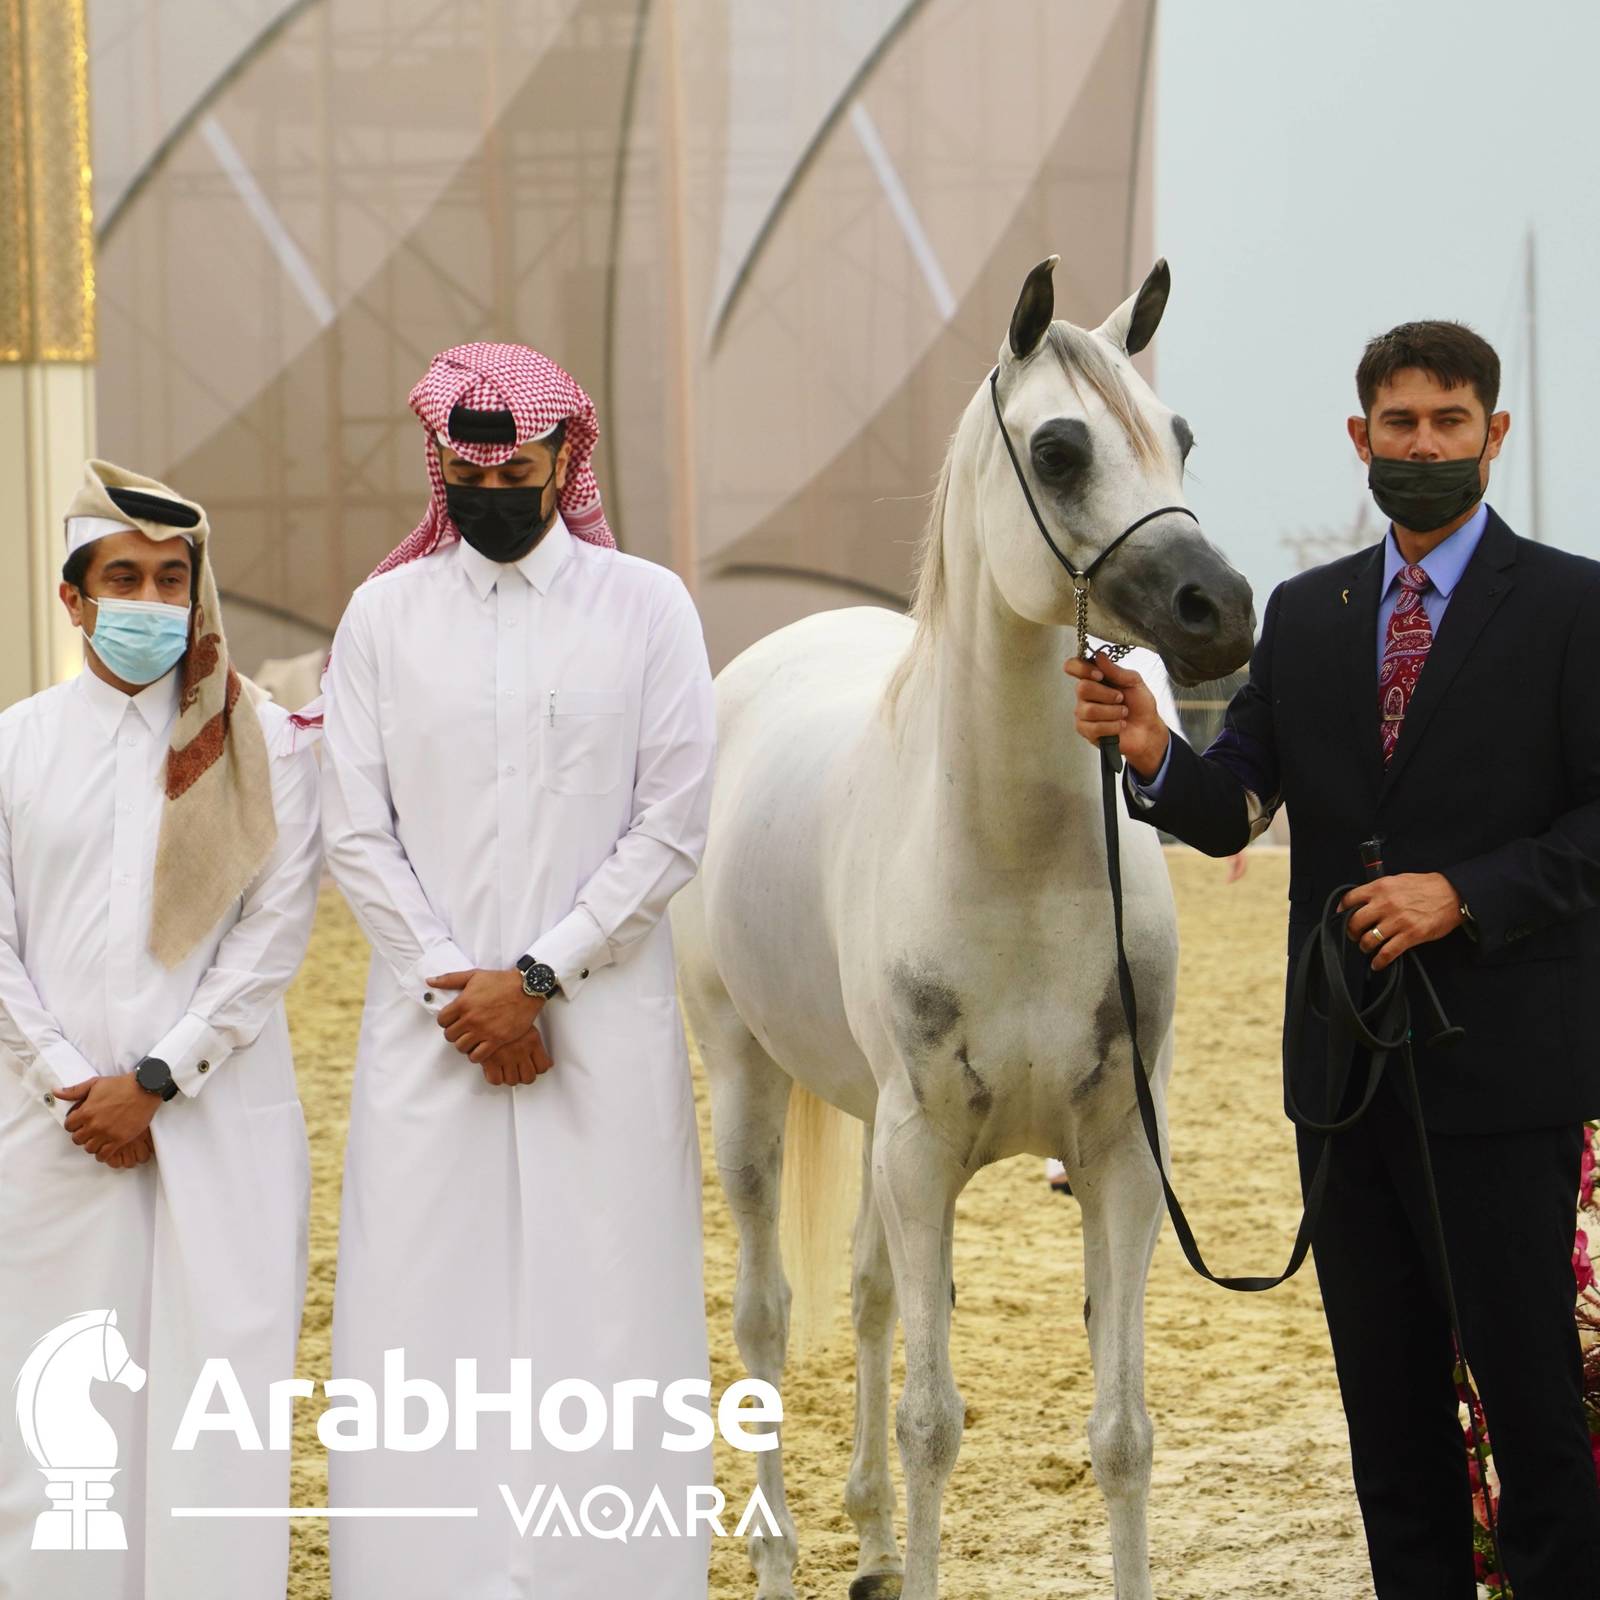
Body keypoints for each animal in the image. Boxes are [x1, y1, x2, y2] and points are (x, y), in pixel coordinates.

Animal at [671, 254, 1255, 1599]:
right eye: (1057, 448)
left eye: (1181, 437)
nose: (1221, 609)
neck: (1020, 865)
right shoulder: (923, 1148)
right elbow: (934, 1422)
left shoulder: (1117, 1157)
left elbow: (1122, 1432)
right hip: (748, 1083)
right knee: (769, 1317)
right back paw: (782, 1554)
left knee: (872, 1297)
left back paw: (875, 1544)